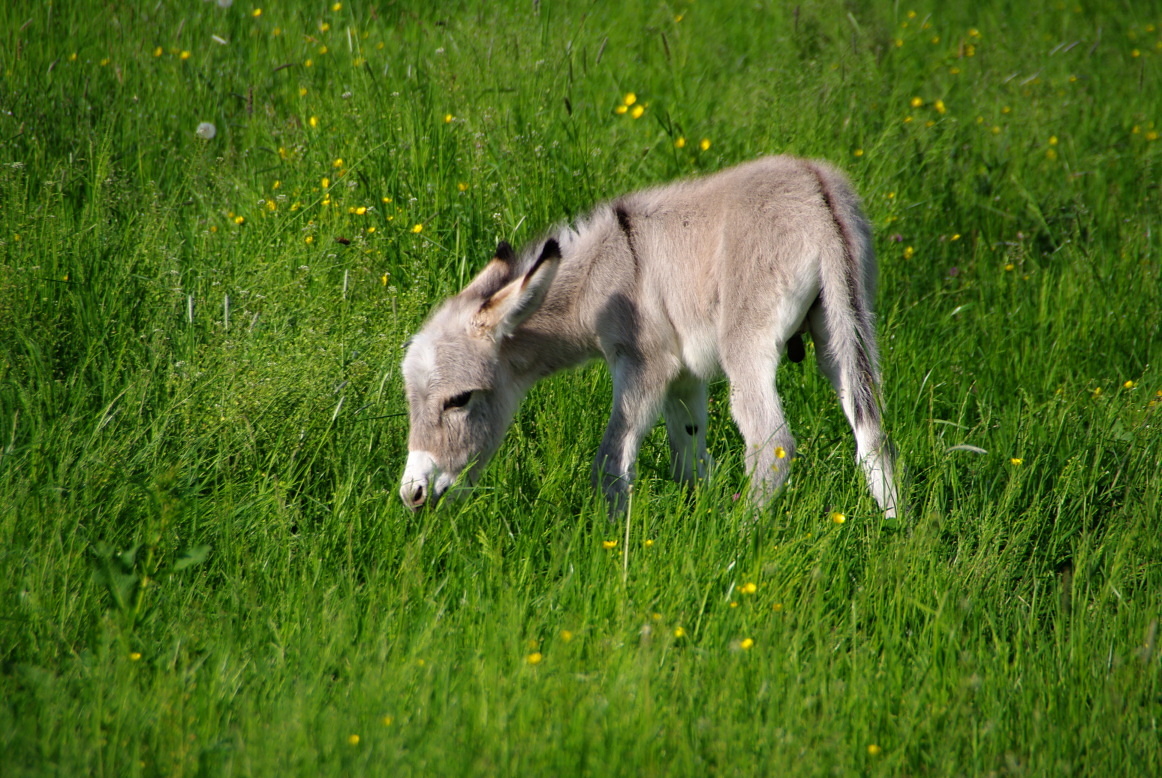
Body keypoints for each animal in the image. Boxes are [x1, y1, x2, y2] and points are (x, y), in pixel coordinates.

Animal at [399, 156, 897, 517]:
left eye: (459, 400)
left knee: (770, 444)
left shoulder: (644, 364)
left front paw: (611, 541)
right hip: (843, 325)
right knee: (873, 433)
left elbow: (611, 462)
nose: (412, 494)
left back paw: (741, 537)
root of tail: (818, 195)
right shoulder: (684, 377)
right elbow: (689, 456)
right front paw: (695, 520)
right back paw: (893, 532)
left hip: (747, 344)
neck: (603, 275)